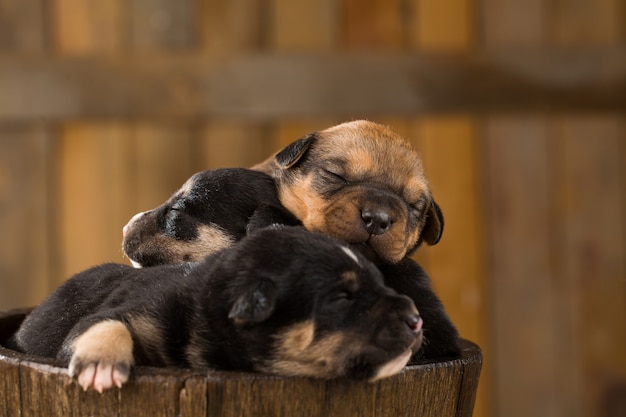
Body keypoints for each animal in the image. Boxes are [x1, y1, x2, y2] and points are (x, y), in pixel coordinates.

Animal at [12, 226, 422, 392]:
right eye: (343, 297)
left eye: (379, 283)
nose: (416, 320)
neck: (205, 302)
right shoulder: (131, 311)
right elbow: (107, 323)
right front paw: (101, 365)